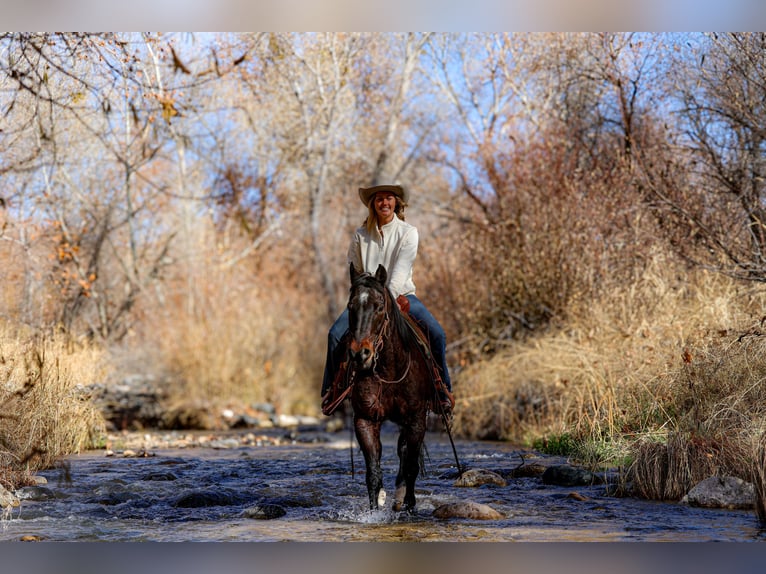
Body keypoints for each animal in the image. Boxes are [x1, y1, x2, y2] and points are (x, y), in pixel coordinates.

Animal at [344, 264, 436, 510]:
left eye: (379, 307)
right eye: (350, 306)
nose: (360, 354)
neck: (389, 371)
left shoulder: (416, 420)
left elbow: (411, 466)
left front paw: (410, 507)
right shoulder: (365, 420)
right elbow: (373, 473)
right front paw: (374, 511)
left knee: (405, 455)